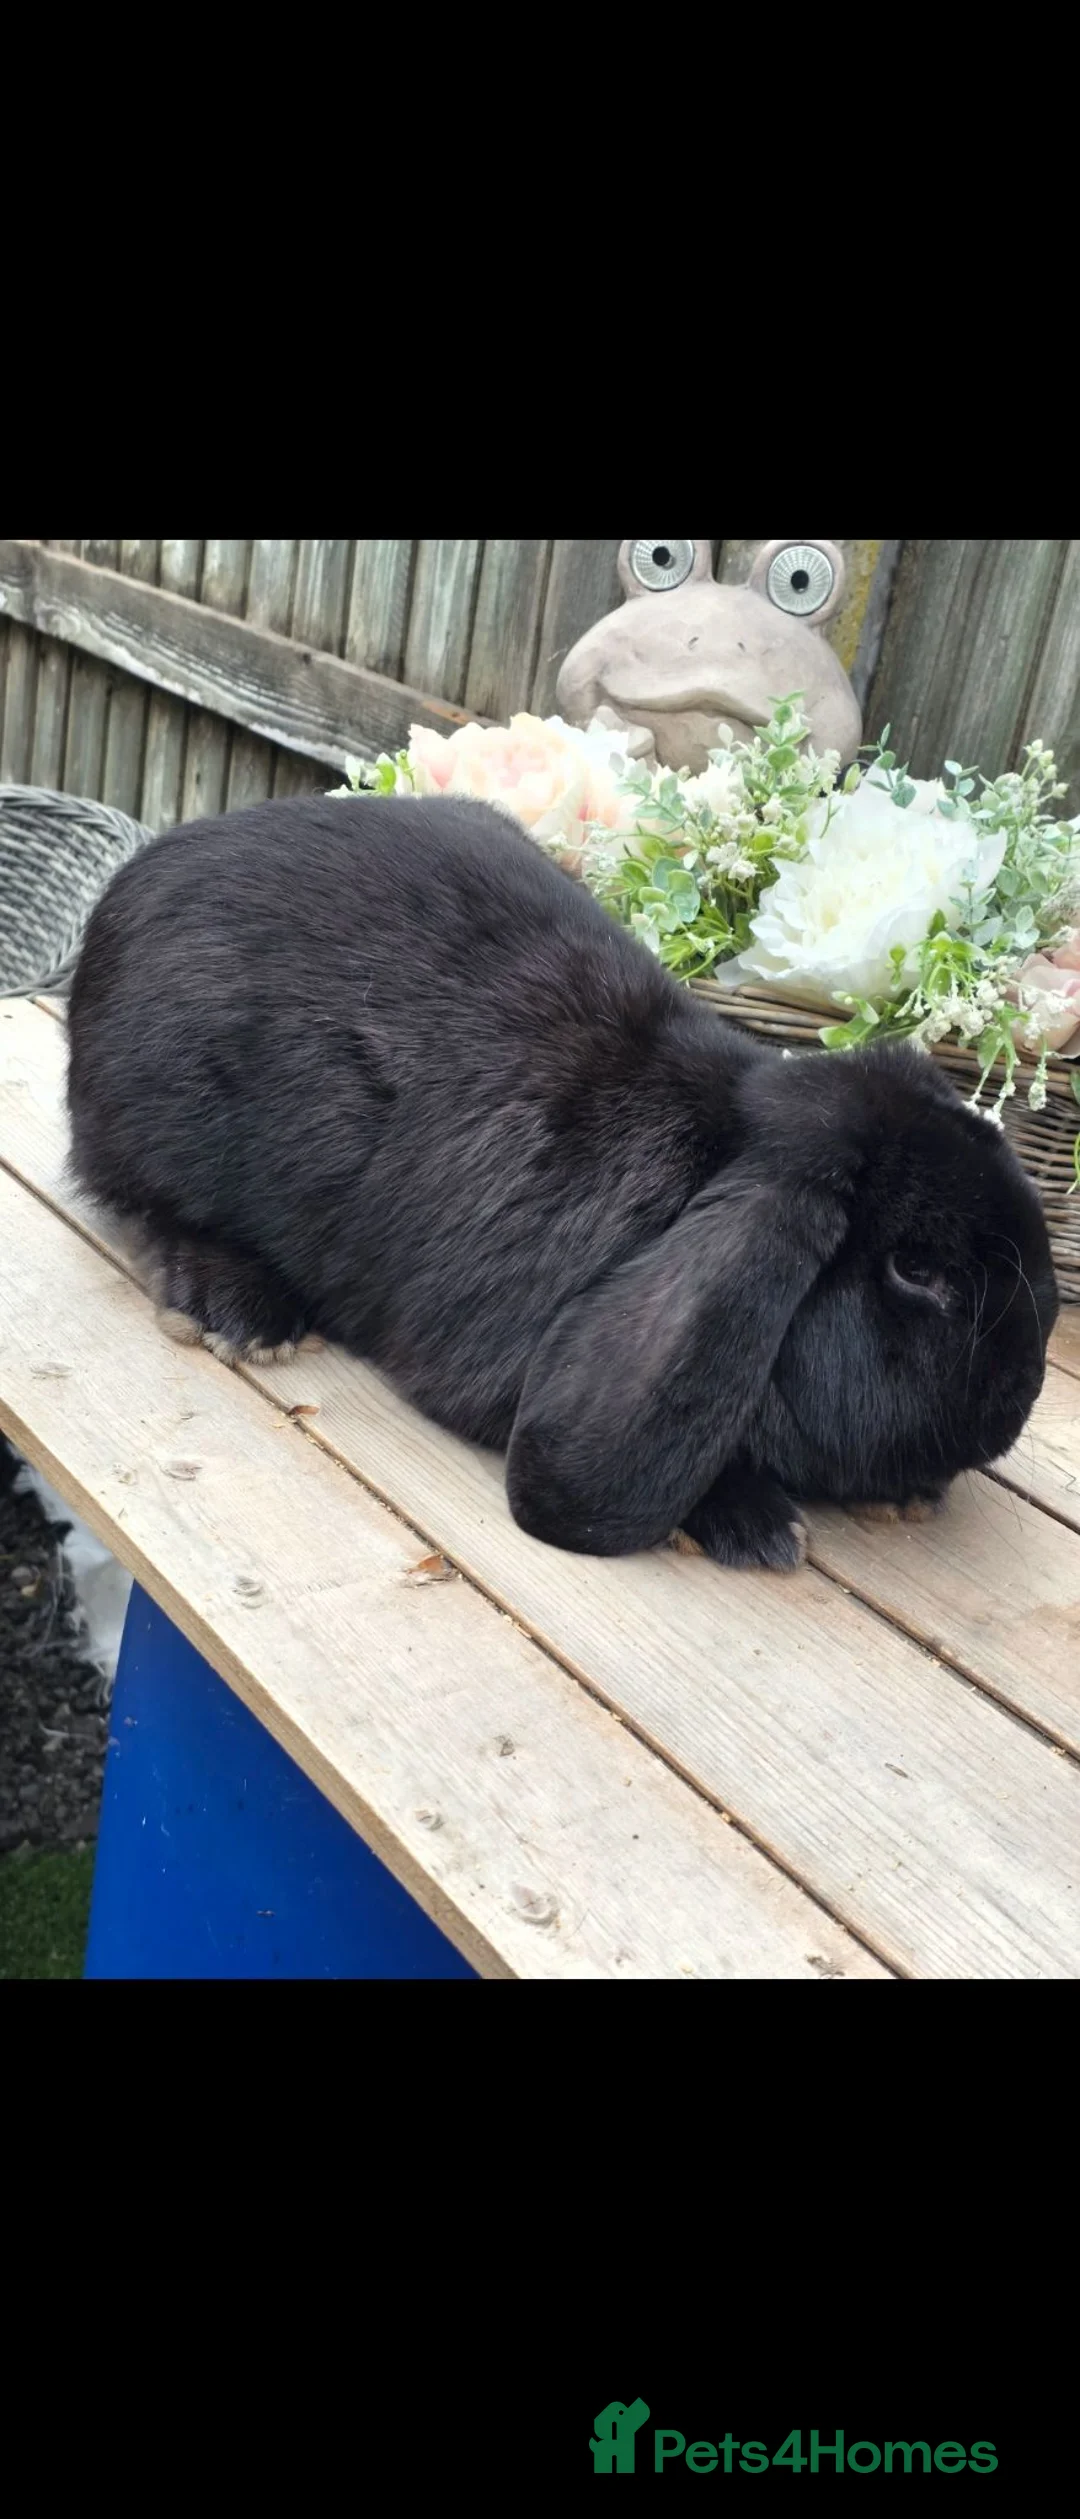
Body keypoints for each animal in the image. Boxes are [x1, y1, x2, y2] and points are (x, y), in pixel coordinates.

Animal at [65, 792, 1059, 1571]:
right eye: (916, 1270)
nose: (1018, 1400)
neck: (713, 1154)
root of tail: (139, 880)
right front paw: (755, 1519)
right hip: (158, 1111)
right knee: (138, 1202)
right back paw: (238, 1308)